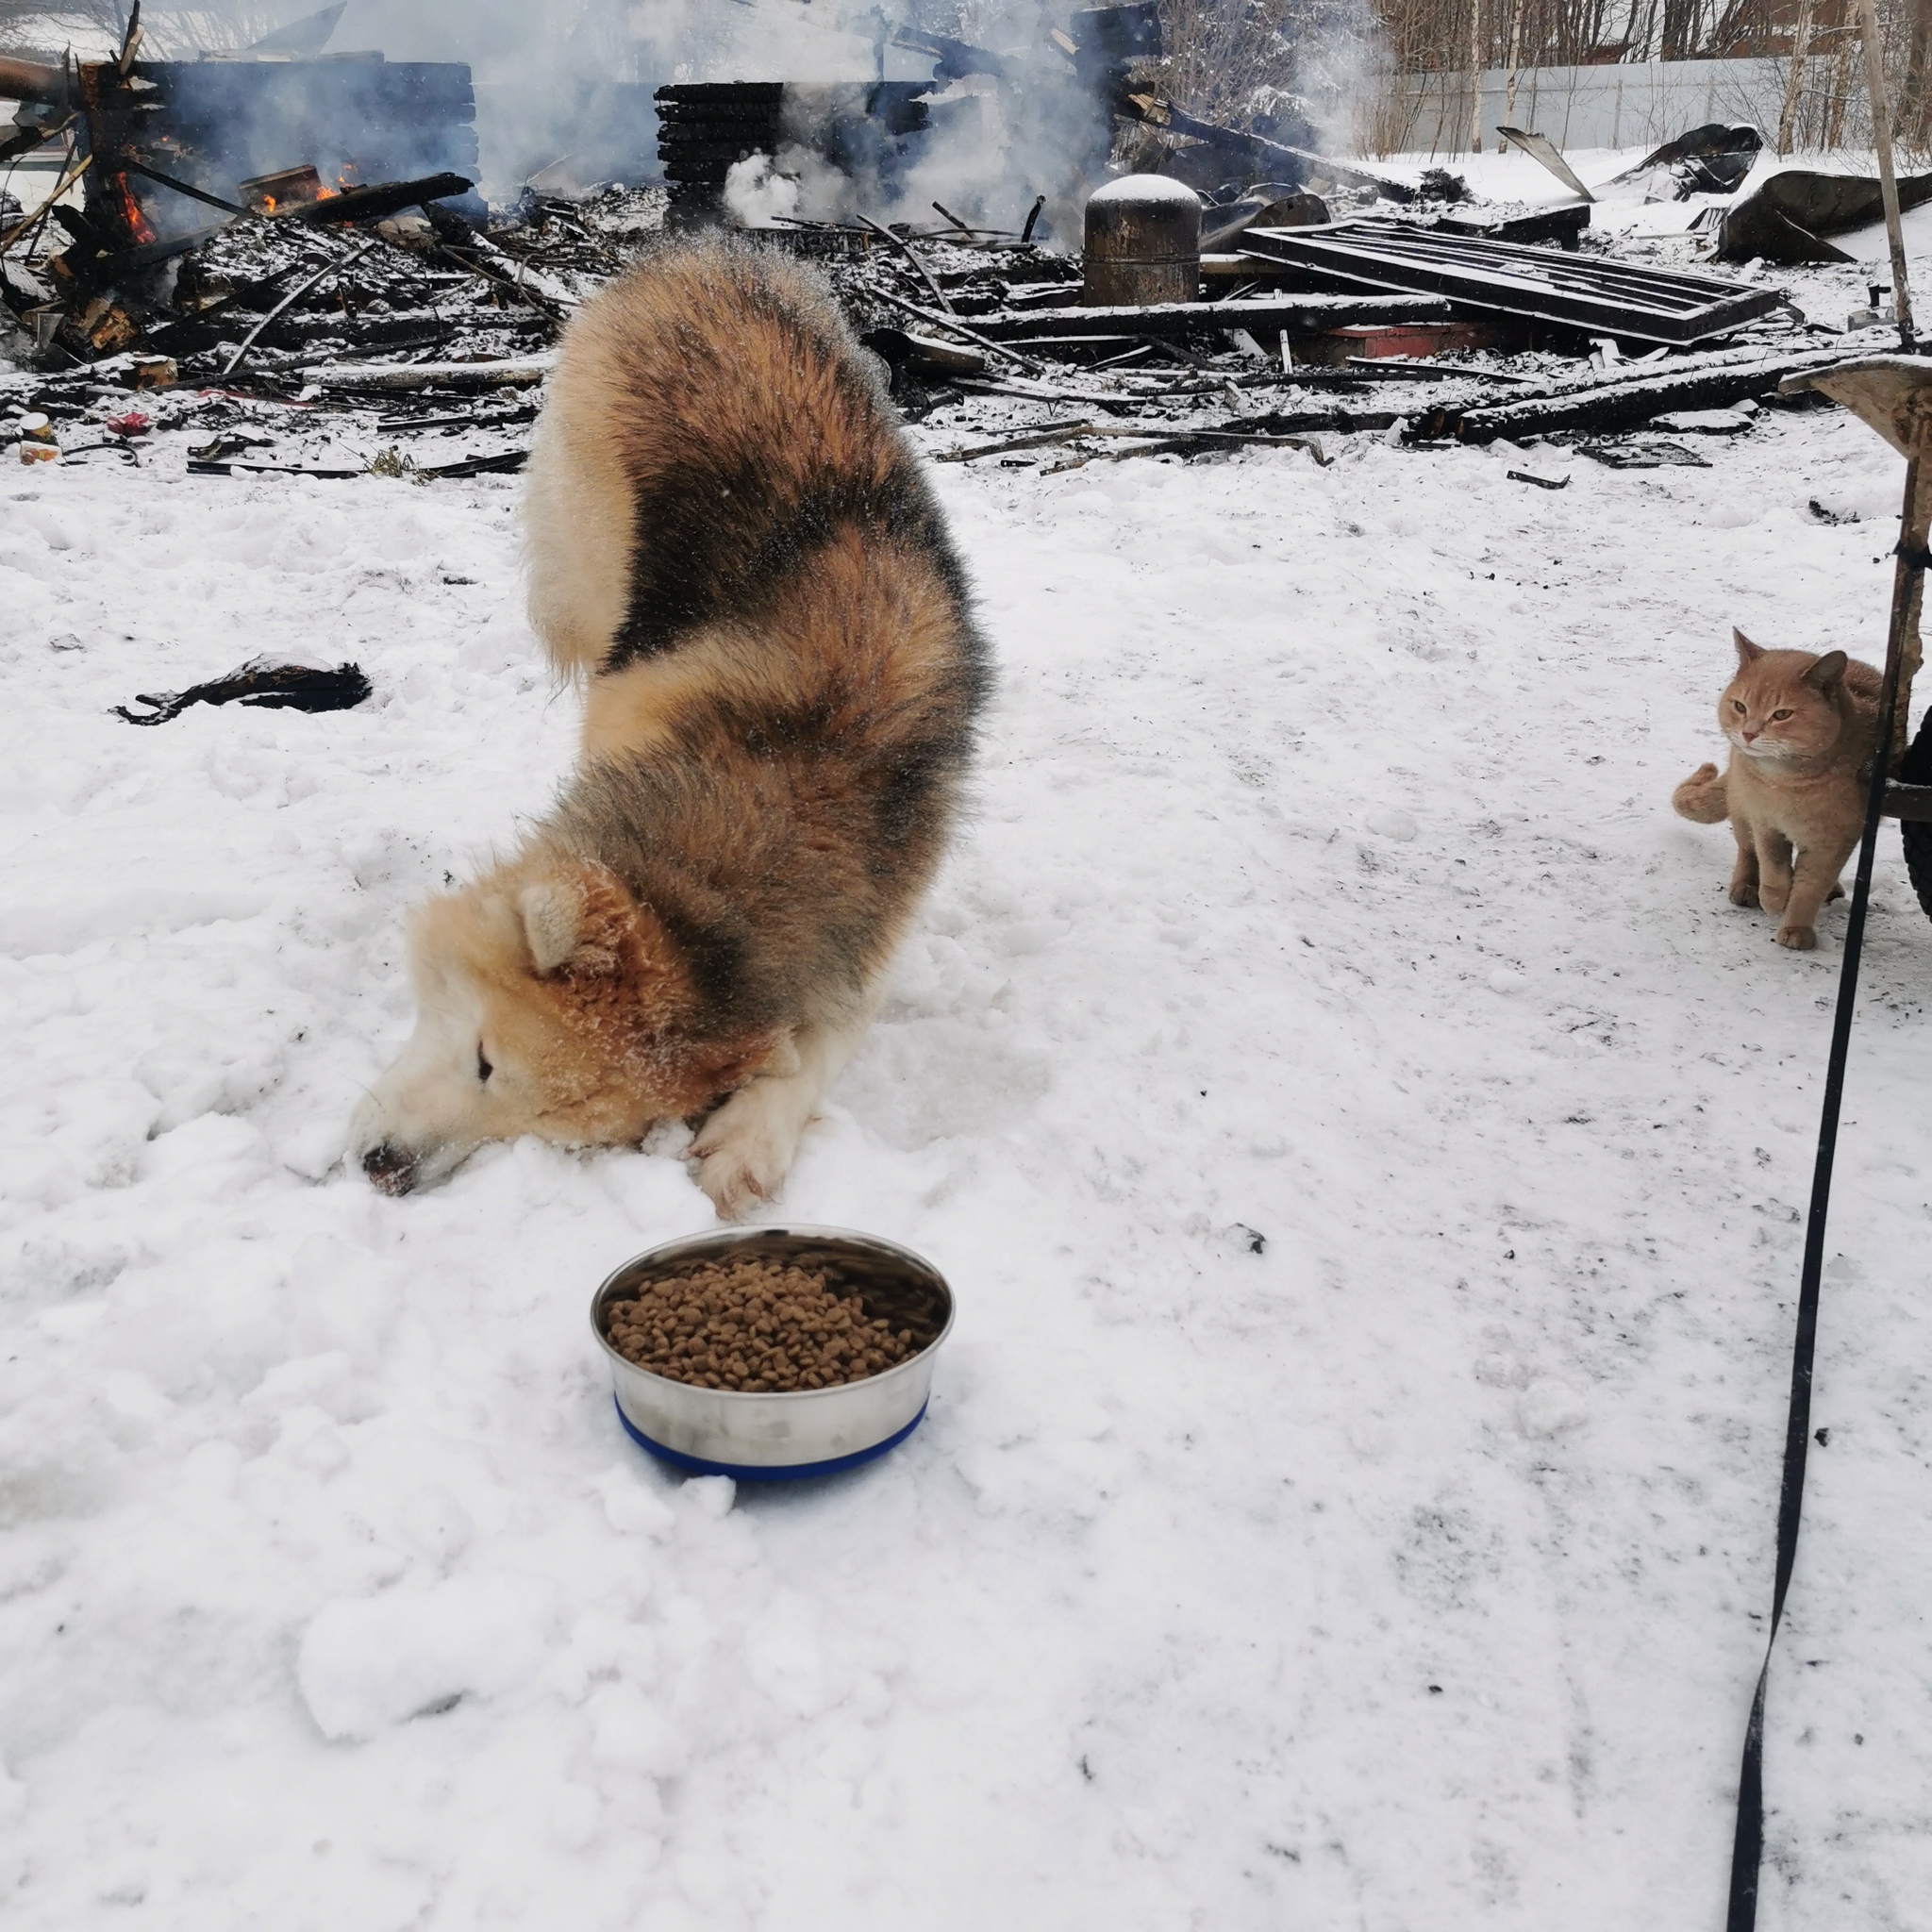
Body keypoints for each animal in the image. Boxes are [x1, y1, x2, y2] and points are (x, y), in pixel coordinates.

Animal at [347, 237, 989, 1205]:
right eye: (485, 1060)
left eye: (546, 1128)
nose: (387, 1170)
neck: (792, 774)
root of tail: (704, 251)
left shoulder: (870, 929)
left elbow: (821, 1044)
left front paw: (752, 1139)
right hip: (582, 566)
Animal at [1669, 629, 1877, 954]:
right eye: (1740, 707)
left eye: (1781, 715)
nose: (1748, 733)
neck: (1788, 786)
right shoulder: (1765, 823)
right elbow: (1773, 868)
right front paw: (1775, 898)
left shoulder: (1834, 842)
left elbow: (1810, 888)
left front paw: (1796, 926)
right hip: (1742, 810)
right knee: (1746, 850)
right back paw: (1745, 887)